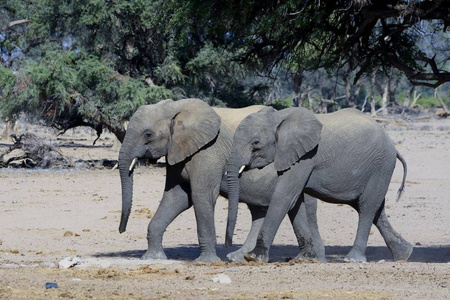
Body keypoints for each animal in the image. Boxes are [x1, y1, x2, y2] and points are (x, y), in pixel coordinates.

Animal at [118, 99, 326, 262]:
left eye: (148, 134)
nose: (121, 230)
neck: (177, 107)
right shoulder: (178, 150)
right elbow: (177, 197)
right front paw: (152, 258)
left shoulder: (208, 150)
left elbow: (201, 195)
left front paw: (206, 262)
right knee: (262, 211)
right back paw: (240, 258)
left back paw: (313, 259)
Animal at [227, 106, 414, 264]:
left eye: (256, 143)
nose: (228, 244)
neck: (278, 117)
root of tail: (394, 147)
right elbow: (295, 201)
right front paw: (306, 258)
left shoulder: (306, 156)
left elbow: (284, 196)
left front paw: (253, 257)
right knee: (375, 209)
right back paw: (404, 254)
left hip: (381, 166)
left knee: (367, 207)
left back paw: (352, 259)